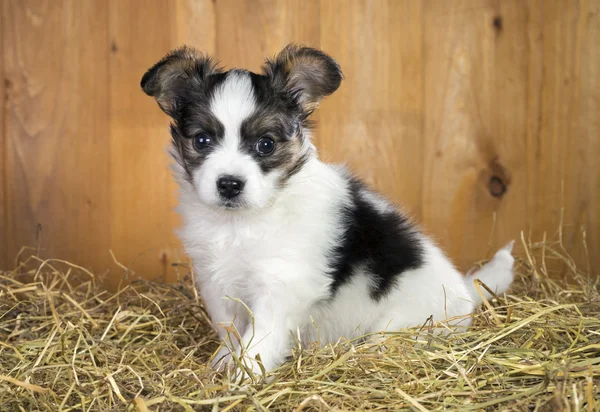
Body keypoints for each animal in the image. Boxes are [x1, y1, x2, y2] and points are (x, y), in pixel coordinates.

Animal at [142, 44, 516, 376]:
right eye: (202, 140)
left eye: (266, 144)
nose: (230, 184)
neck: (242, 223)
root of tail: (464, 294)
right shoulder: (215, 279)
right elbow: (230, 327)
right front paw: (223, 363)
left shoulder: (281, 285)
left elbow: (261, 338)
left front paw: (246, 376)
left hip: (400, 324)